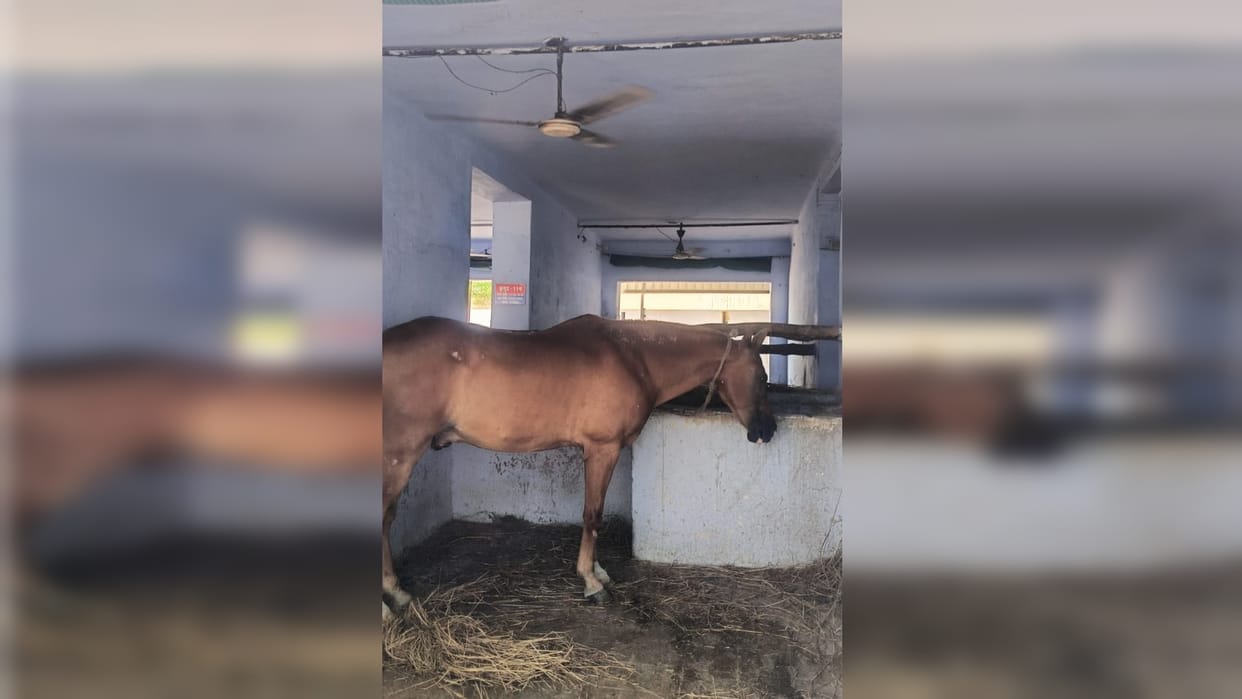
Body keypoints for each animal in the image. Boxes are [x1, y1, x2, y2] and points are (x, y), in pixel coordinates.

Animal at [381, 314, 779, 616]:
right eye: (762, 377)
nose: (768, 430)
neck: (635, 358)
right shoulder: (602, 450)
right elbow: (593, 515)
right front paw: (591, 581)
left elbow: (593, 515)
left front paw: (599, 571)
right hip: (400, 455)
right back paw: (392, 599)